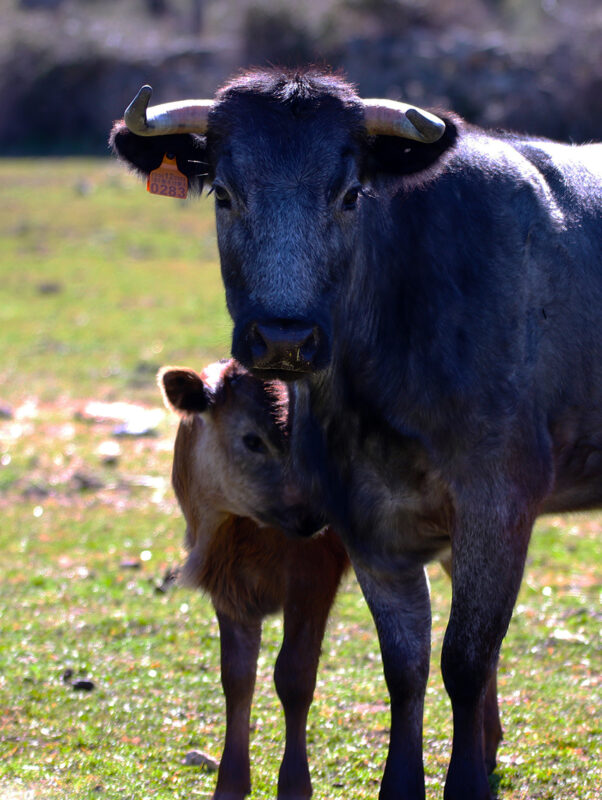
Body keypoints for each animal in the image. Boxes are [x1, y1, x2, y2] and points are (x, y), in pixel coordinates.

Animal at [157, 360, 350, 800]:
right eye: (252, 440)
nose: (315, 514)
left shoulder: (315, 575)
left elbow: (294, 676)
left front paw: (294, 784)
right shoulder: (227, 586)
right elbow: (237, 677)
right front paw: (230, 782)